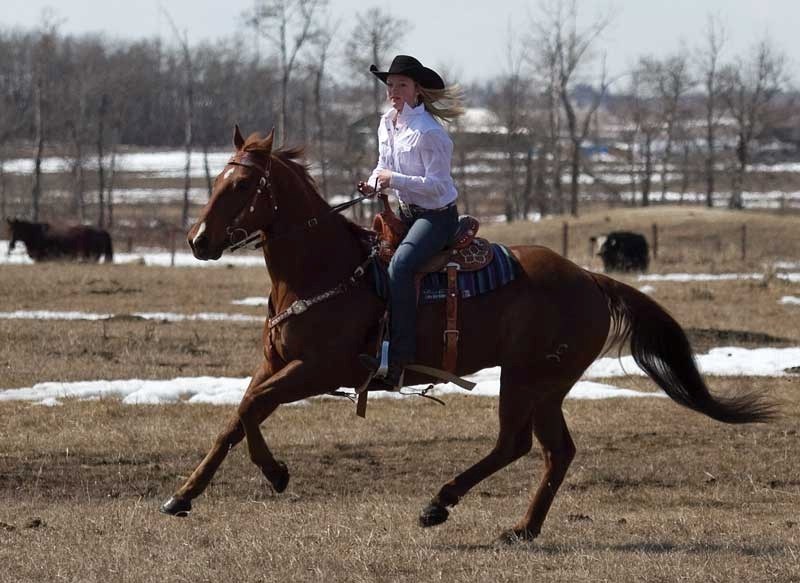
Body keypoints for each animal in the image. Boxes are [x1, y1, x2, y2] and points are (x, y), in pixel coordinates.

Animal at [159, 128, 780, 544]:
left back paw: (440, 504)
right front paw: (209, 488)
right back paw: (521, 528)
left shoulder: (319, 370)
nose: (197, 241)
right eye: (217, 178)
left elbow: (250, 410)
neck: (321, 269)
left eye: (242, 182)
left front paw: (248, 480)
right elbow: (239, 417)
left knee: (517, 445)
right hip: (542, 385)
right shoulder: (276, 365)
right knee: (554, 450)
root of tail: (589, 277)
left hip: (530, 378)